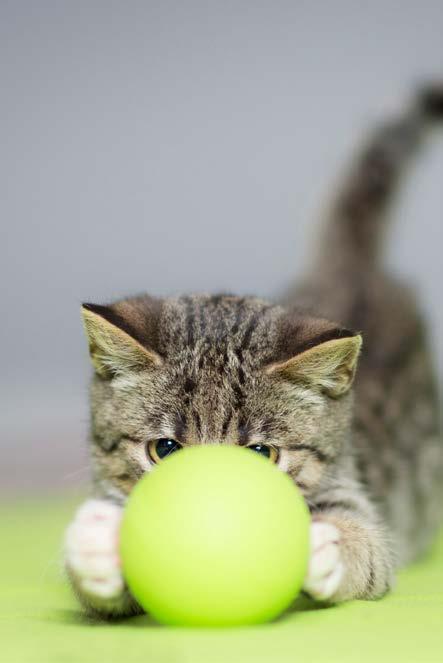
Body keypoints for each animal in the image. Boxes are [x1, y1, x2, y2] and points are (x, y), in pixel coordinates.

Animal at [66, 84, 443, 616]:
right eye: (165, 449)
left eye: (262, 454)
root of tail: (351, 271)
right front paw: (101, 549)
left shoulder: (359, 497)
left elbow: (367, 549)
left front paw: (330, 545)